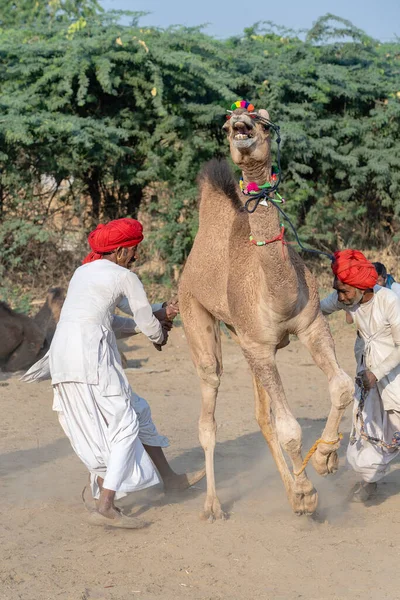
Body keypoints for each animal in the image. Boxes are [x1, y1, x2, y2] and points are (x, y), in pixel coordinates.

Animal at [179, 105, 354, 516]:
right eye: (227, 125)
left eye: (263, 119)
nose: (241, 127)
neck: (277, 293)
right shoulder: (258, 346)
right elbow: (289, 428)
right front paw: (307, 491)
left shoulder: (309, 325)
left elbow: (342, 386)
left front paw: (325, 459)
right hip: (194, 311)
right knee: (210, 402)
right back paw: (213, 505)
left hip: (243, 338)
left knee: (262, 416)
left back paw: (290, 491)